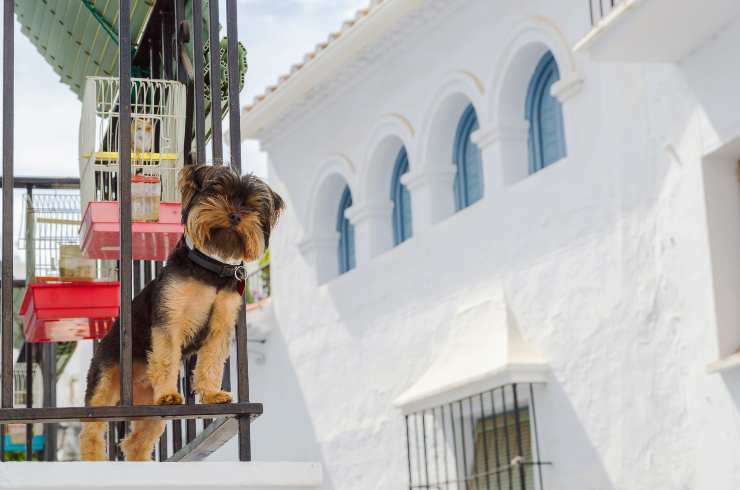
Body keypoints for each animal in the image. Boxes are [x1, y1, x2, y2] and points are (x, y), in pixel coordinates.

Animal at [79, 165, 284, 460]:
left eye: (252, 206)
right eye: (217, 192)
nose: (236, 214)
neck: (212, 269)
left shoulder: (220, 327)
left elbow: (211, 363)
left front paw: (211, 394)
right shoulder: (170, 318)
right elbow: (166, 359)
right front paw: (168, 393)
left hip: (151, 410)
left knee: (135, 442)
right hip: (106, 378)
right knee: (92, 430)